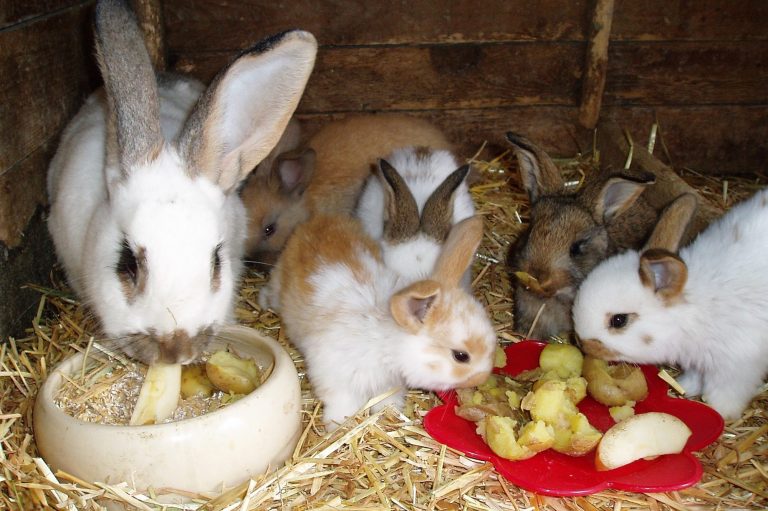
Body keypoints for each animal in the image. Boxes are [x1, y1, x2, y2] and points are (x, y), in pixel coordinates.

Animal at [260, 214, 496, 430]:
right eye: (461, 356)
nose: (483, 377)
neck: (388, 343)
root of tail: (320, 219)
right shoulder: (336, 379)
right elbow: (342, 404)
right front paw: (338, 426)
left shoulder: (389, 386)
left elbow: (386, 402)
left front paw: (388, 414)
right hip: (277, 284)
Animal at [572, 188, 768, 420]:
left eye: (619, 320)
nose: (581, 343)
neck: (693, 312)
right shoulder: (698, 363)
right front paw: (686, 387)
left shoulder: (736, 368)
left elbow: (723, 394)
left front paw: (719, 412)